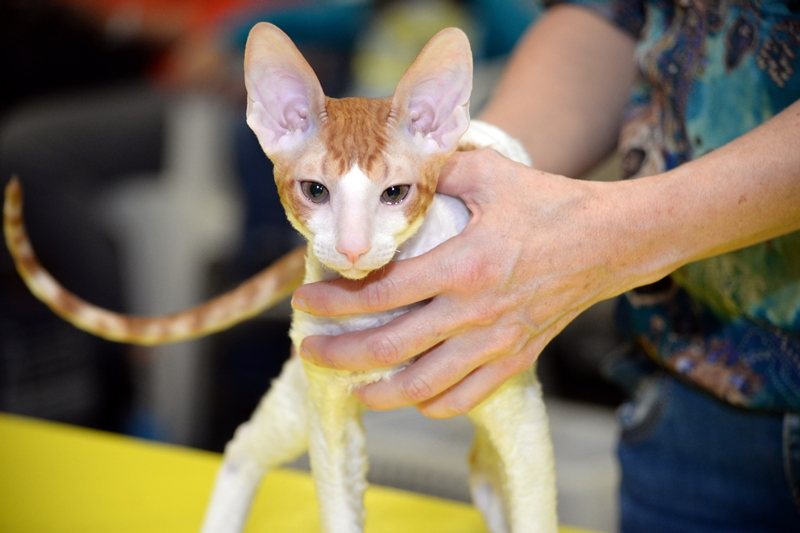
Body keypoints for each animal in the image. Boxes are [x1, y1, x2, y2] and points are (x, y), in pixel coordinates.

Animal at [3, 22, 556, 532]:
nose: (352, 246)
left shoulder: (515, 404)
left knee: (486, 473)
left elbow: (533, 509)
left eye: (395, 193)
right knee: (243, 447)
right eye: (316, 190)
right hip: (300, 387)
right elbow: (338, 506)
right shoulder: (327, 399)